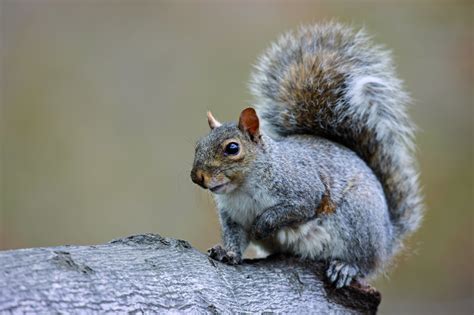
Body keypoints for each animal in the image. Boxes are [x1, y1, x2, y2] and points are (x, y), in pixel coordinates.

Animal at [189, 22, 422, 288]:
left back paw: (346, 267)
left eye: (232, 148)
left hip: (357, 221)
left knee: (365, 262)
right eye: (198, 145)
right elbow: (235, 237)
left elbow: (297, 208)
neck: (242, 189)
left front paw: (263, 224)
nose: (197, 176)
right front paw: (227, 253)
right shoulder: (233, 217)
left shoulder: (303, 188)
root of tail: (388, 236)